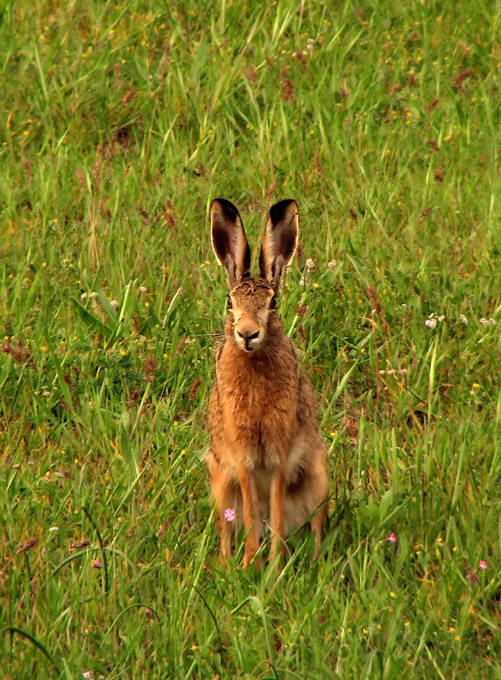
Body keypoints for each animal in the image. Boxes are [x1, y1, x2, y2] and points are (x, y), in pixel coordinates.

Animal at [207, 198, 329, 567]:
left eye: (272, 302)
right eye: (230, 302)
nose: (247, 334)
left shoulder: (280, 453)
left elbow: (274, 509)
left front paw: (274, 566)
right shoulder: (242, 455)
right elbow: (250, 513)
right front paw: (252, 564)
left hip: (320, 474)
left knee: (314, 525)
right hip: (220, 482)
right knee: (226, 527)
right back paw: (227, 564)